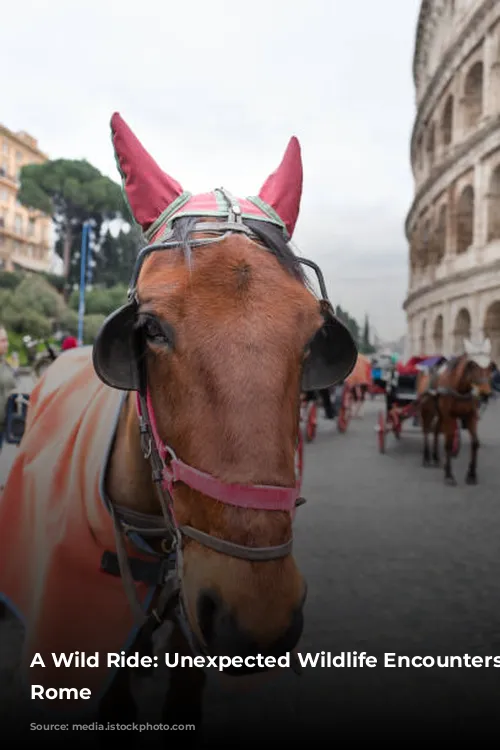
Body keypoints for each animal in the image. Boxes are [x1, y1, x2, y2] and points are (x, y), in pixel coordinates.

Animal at [414, 340, 492, 488]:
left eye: (491, 366)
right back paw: (426, 458)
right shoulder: (449, 416)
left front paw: (471, 475)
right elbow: (449, 443)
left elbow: (475, 443)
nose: (485, 394)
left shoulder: (471, 416)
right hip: (427, 410)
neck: (461, 389)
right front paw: (449, 475)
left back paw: (436, 458)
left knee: (436, 431)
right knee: (426, 431)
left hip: (439, 413)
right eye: (472, 365)